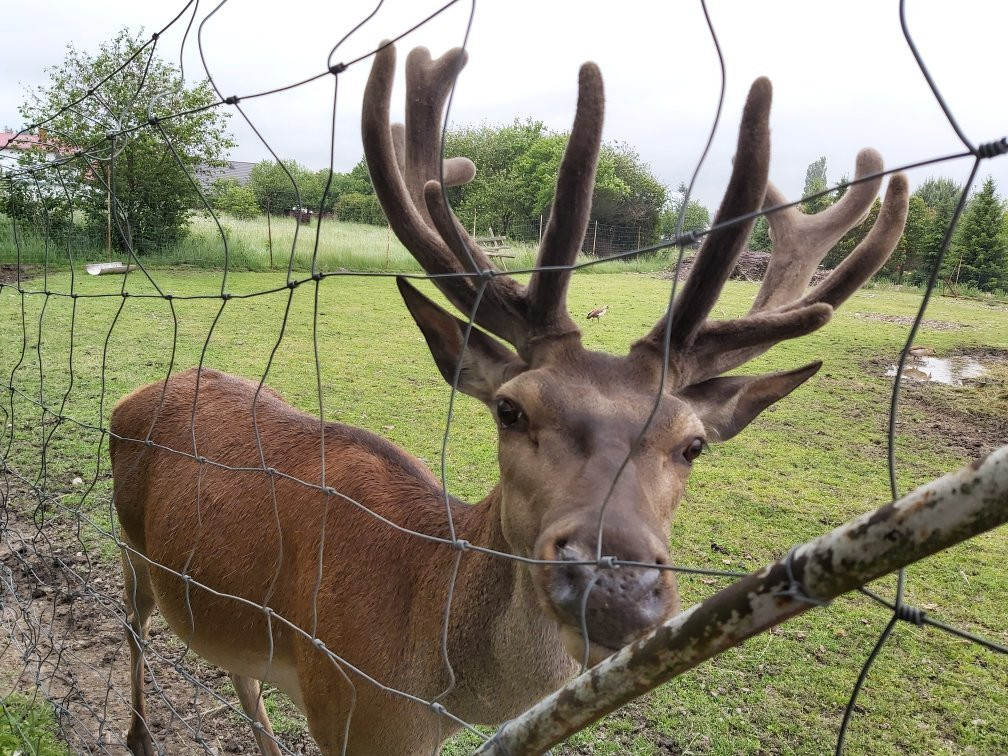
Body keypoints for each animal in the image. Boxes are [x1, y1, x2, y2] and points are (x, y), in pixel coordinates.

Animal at [106, 42, 911, 756]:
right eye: (511, 410)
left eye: (693, 444)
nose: (615, 587)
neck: (429, 687)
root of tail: (138, 392)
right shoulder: (343, 705)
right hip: (128, 540)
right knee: (134, 624)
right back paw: (139, 733)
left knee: (232, 665)